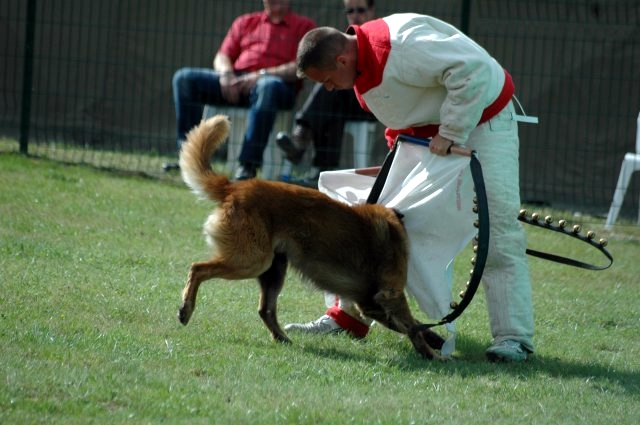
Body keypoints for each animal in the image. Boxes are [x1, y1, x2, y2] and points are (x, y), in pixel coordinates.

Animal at [176, 115, 444, 358]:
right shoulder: (391, 295)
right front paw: (432, 354)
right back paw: (185, 309)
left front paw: (436, 342)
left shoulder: (371, 303)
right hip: (253, 261)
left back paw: (283, 338)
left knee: (265, 310)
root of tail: (234, 187)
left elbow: (413, 325)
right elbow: (412, 326)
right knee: (198, 268)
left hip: (273, 269)